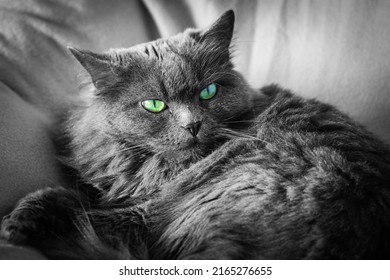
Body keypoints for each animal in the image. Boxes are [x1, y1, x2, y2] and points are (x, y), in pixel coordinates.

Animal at [0, 10, 390, 260]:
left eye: (208, 92)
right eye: (154, 105)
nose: (192, 125)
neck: (148, 168)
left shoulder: (147, 211)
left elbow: (76, 207)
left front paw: (14, 225)